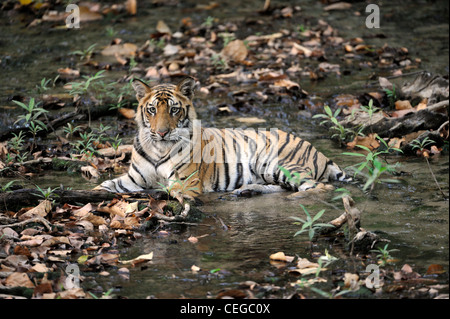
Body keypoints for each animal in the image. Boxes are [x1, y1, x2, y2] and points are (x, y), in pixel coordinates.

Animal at [95, 76, 352, 199]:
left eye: (174, 110)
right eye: (151, 110)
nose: (161, 132)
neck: (158, 148)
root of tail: (318, 151)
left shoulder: (185, 183)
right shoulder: (133, 179)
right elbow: (103, 186)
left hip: (273, 162)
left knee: (318, 187)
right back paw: (246, 191)